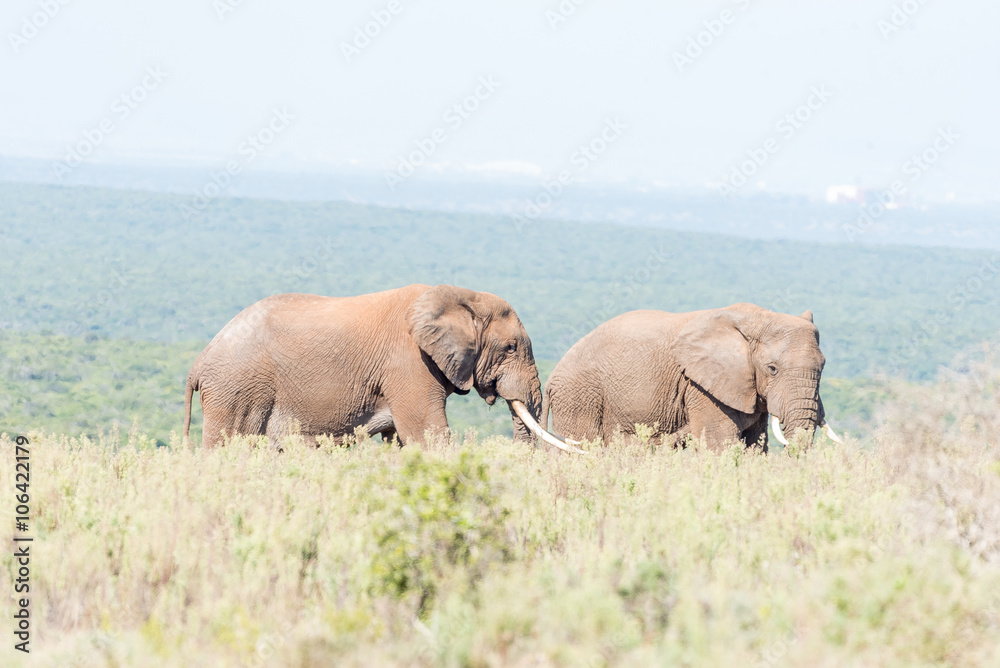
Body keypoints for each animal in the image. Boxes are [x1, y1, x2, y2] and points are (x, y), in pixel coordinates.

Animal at [184, 284, 584, 452]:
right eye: (511, 347)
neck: (462, 295)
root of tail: (198, 364)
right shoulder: (408, 363)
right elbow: (428, 435)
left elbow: (400, 440)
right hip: (238, 389)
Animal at [544, 304, 840, 452]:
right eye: (772, 369)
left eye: (824, 366)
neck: (757, 318)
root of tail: (551, 379)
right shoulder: (702, 385)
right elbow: (719, 444)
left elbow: (754, 444)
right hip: (580, 395)